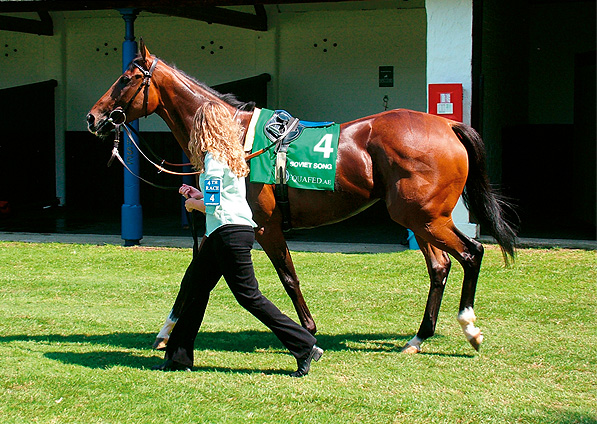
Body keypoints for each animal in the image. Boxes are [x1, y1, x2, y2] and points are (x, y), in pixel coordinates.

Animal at [85, 41, 516, 352]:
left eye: (126, 79)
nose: (93, 118)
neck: (232, 138)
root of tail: (447, 126)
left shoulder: (264, 227)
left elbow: (288, 277)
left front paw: (307, 330)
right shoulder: (216, 228)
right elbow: (191, 277)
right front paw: (165, 331)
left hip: (425, 218)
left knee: (472, 253)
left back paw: (469, 328)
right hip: (418, 218)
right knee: (440, 266)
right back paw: (418, 337)